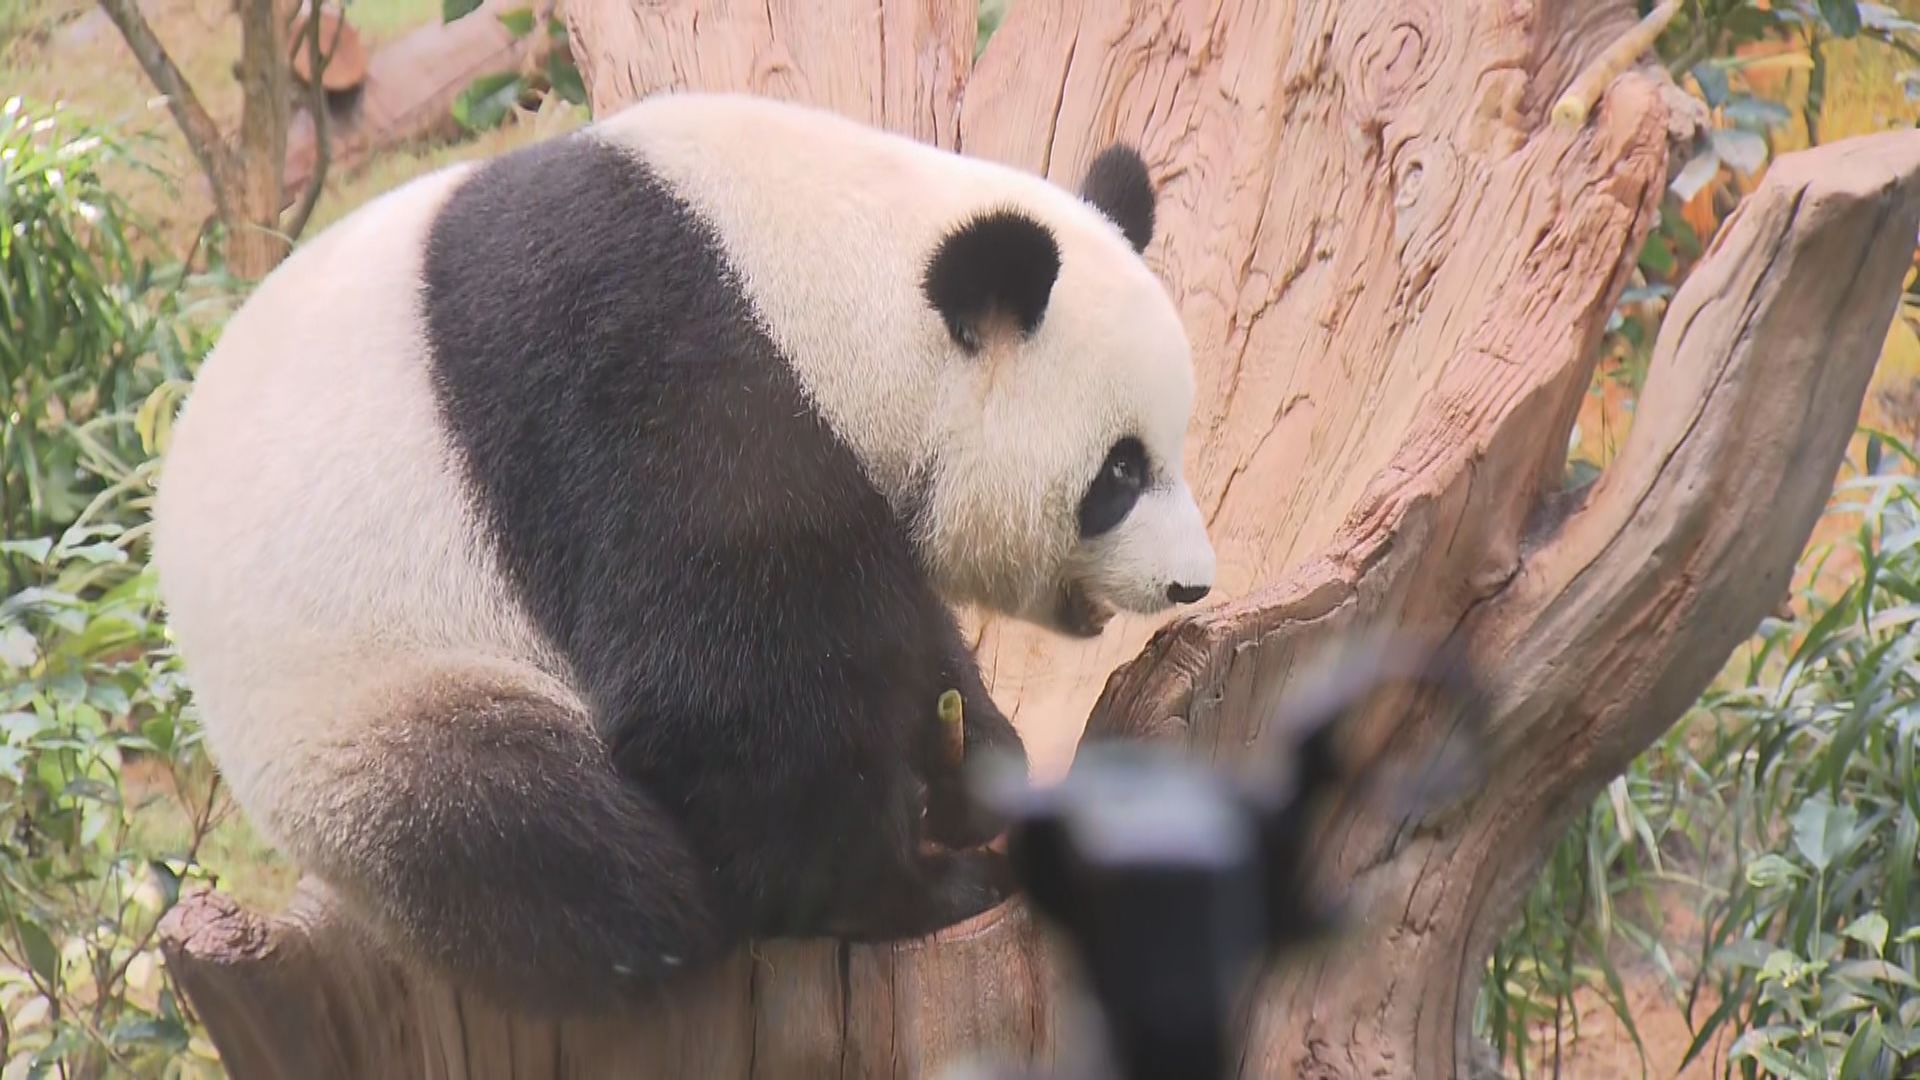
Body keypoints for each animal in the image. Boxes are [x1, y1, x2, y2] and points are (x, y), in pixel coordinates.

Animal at [161, 90, 1213, 1006]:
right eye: (1119, 472)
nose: (1191, 584)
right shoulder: (659, 387)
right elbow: (732, 689)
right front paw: (912, 889)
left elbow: (892, 626)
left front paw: (973, 769)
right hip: (368, 703)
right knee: (532, 829)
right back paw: (696, 912)